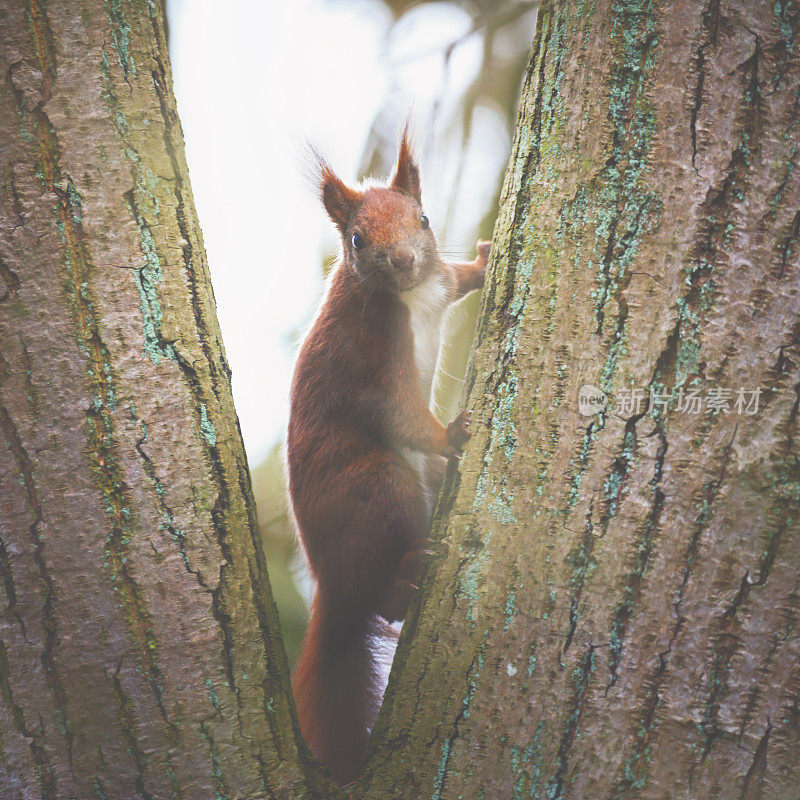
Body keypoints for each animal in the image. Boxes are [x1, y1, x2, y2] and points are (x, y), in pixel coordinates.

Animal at [288, 131, 488, 788]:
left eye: (422, 218)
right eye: (356, 239)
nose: (401, 260)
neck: (409, 295)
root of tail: (330, 580)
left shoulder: (438, 280)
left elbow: (455, 276)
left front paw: (482, 264)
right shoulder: (369, 360)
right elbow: (400, 414)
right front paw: (450, 434)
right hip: (380, 485)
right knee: (381, 602)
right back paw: (407, 576)